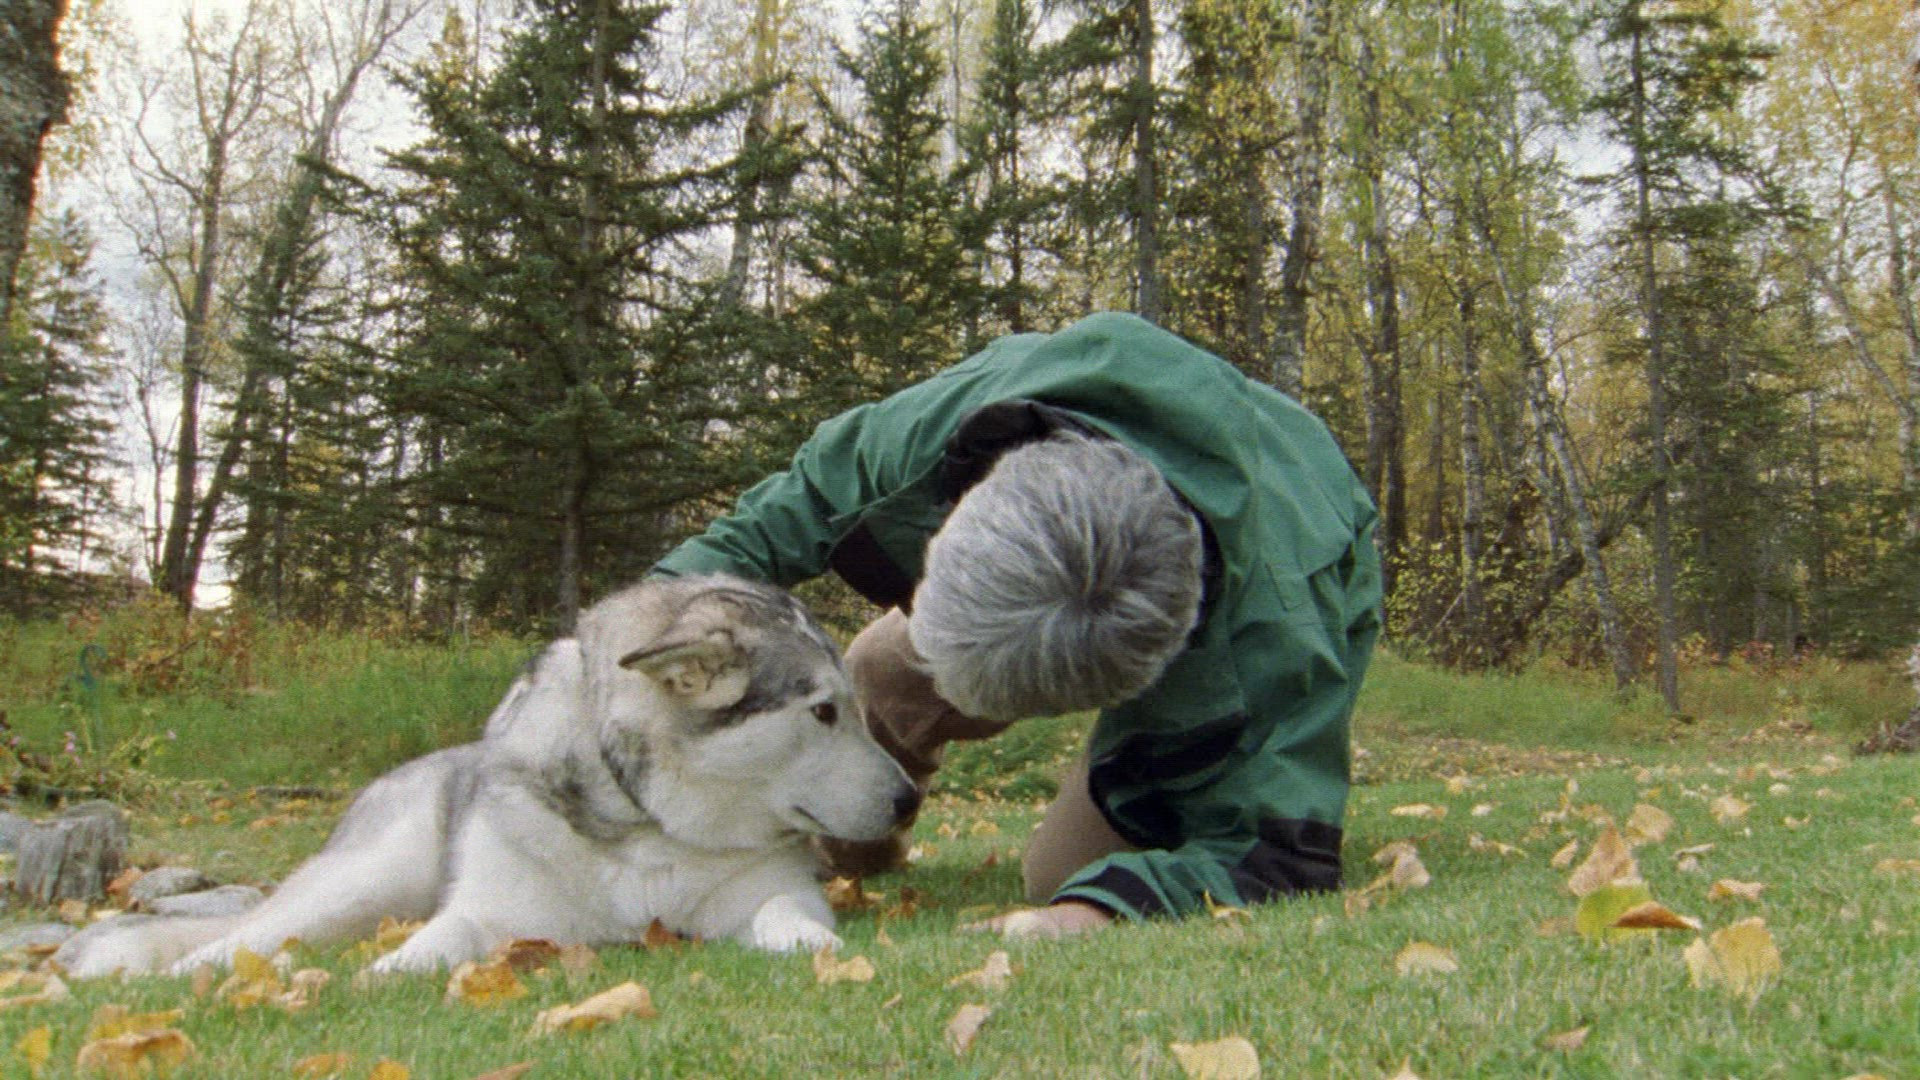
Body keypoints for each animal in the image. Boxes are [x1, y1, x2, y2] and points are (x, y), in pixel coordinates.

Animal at [53, 574, 920, 977]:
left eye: (852, 705)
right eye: (822, 712)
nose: (910, 798)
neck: (646, 825)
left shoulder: (773, 890)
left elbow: (786, 915)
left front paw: (818, 949)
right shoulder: (491, 910)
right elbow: (441, 938)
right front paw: (387, 973)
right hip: (363, 880)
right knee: (245, 936)